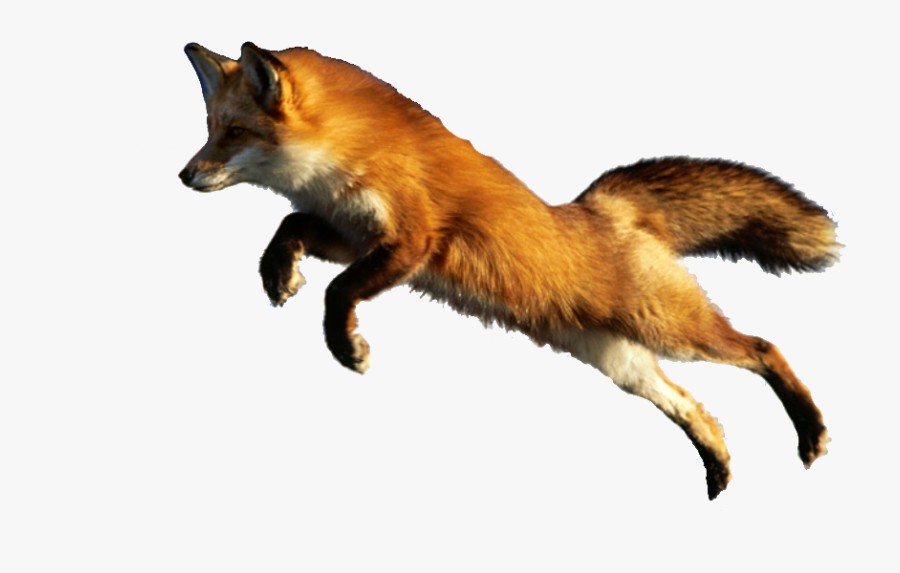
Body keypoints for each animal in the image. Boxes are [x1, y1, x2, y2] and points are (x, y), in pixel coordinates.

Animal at [179, 42, 840, 500]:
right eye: (210, 130)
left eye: (235, 132)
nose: (184, 175)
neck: (347, 155)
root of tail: (602, 207)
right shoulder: (350, 234)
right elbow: (288, 227)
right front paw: (277, 274)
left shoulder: (412, 240)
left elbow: (338, 293)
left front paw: (347, 348)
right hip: (622, 362)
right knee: (696, 409)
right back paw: (719, 467)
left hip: (674, 330)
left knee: (764, 347)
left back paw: (810, 431)